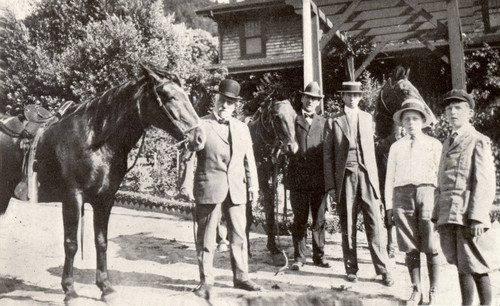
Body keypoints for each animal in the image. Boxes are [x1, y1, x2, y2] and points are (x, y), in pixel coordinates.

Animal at [0, 64, 206, 302]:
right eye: (170, 96)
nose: (199, 138)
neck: (93, 140)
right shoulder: (72, 197)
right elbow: (71, 244)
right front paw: (70, 290)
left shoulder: (105, 199)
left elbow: (101, 241)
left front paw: (105, 287)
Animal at [246, 98, 296, 262]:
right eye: (277, 117)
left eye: (295, 116)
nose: (292, 147)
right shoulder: (257, 178)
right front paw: (246, 249)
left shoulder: (271, 177)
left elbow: (270, 206)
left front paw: (273, 246)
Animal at [374, 66, 436, 256]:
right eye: (405, 90)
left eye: (417, 89)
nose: (433, 122)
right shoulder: (383, 184)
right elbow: (389, 217)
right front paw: (390, 248)